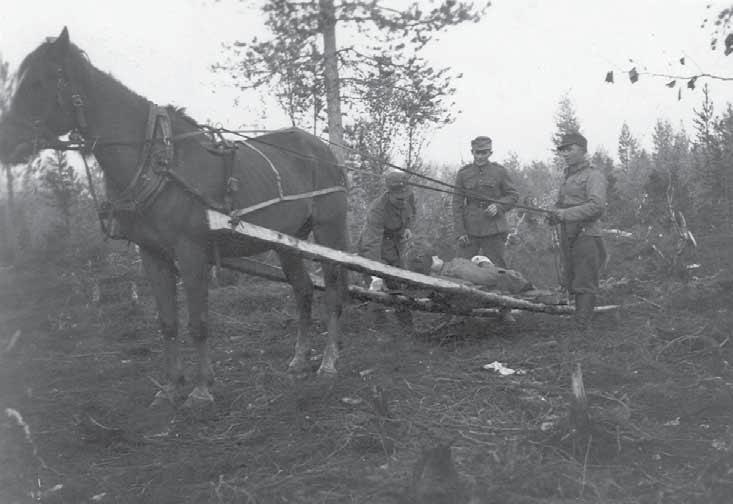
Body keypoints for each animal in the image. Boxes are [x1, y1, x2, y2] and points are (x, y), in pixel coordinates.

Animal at [0, 25, 348, 408]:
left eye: (42, 81)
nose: (5, 142)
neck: (159, 161)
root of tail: (323, 150)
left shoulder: (191, 251)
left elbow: (198, 321)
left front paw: (201, 389)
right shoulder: (152, 254)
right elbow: (167, 322)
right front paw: (169, 387)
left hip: (329, 232)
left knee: (333, 291)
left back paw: (329, 362)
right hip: (288, 241)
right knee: (303, 290)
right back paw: (299, 361)